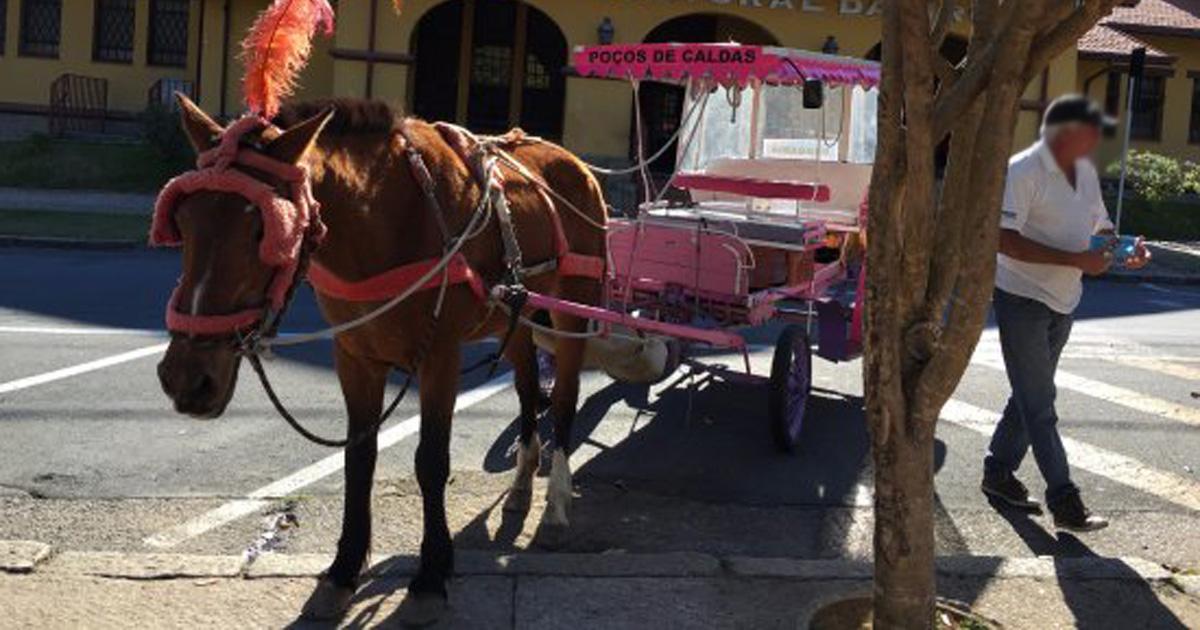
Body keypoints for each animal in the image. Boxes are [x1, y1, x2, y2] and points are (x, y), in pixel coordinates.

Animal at [157, 97, 609, 619]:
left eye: (262, 229)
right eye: (183, 220)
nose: (186, 379)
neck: (388, 218)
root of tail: (574, 161)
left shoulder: (440, 356)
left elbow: (430, 461)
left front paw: (431, 574)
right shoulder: (355, 357)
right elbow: (359, 459)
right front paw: (344, 569)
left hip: (574, 306)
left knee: (565, 400)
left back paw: (555, 505)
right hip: (518, 313)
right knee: (528, 390)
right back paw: (520, 488)